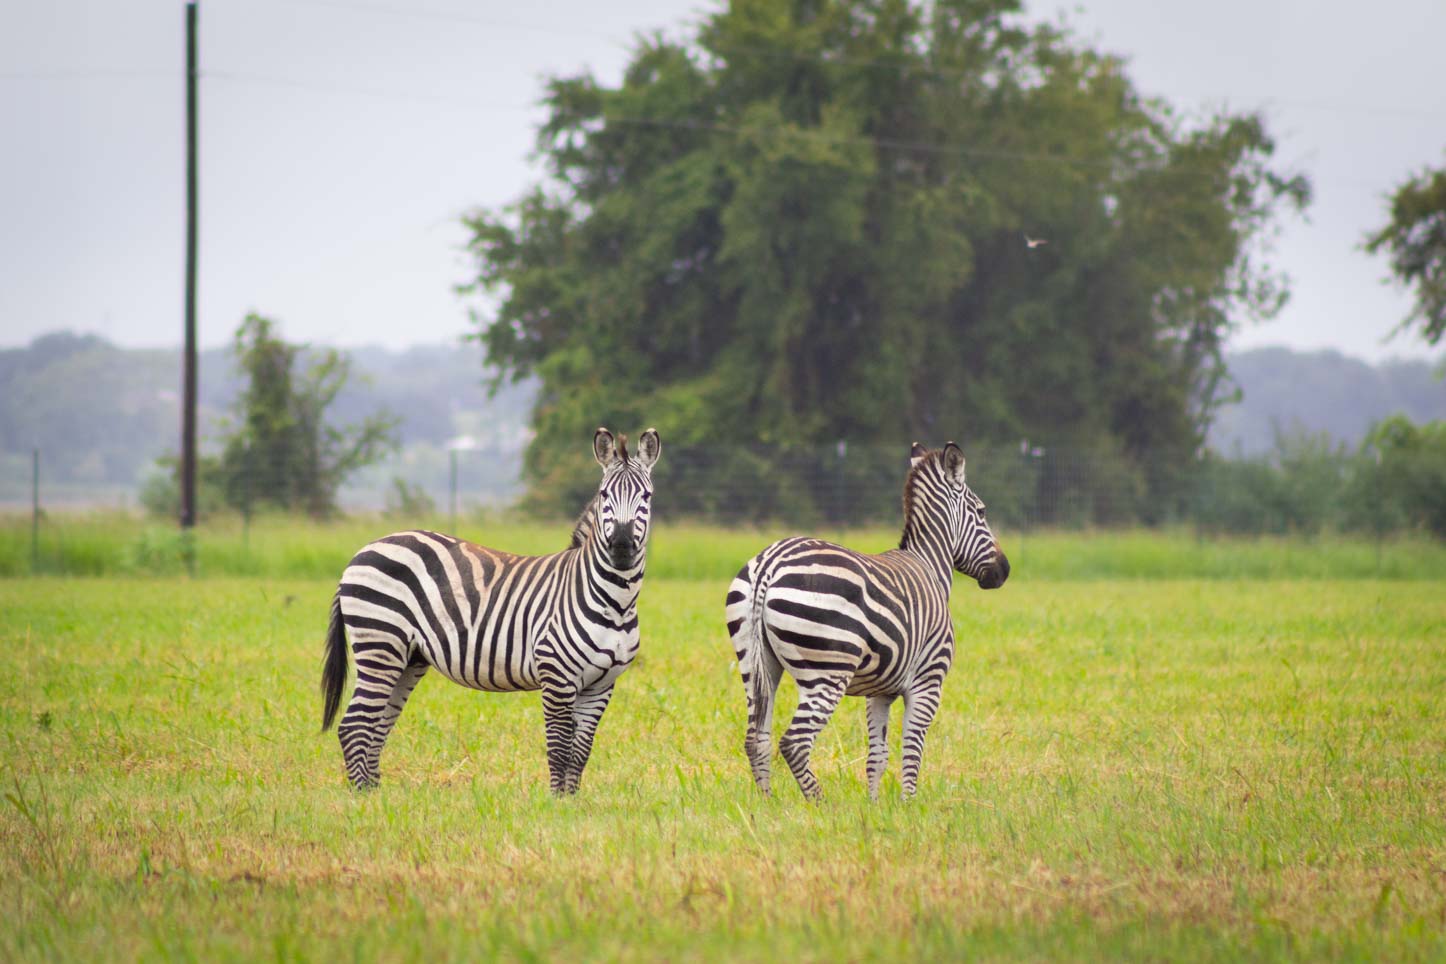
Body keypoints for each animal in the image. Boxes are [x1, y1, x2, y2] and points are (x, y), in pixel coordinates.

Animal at [320, 427, 660, 794]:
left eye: (646, 496)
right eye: (604, 495)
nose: (622, 547)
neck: (615, 603)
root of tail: (363, 551)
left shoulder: (601, 685)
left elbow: (581, 752)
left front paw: (573, 801)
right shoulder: (556, 675)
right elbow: (558, 748)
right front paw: (556, 804)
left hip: (408, 657)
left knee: (377, 725)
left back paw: (377, 794)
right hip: (380, 643)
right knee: (354, 725)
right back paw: (363, 797)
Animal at [725, 441, 1009, 801]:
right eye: (982, 512)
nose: (1004, 571)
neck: (929, 565)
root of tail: (769, 564)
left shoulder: (880, 691)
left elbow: (878, 754)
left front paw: (874, 806)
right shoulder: (928, 681)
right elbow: (912, 747)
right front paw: (908, 804)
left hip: (755, 665)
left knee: (756, 738)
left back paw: (767, 803)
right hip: (828, 672)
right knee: (794, 743)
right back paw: (820, 804)